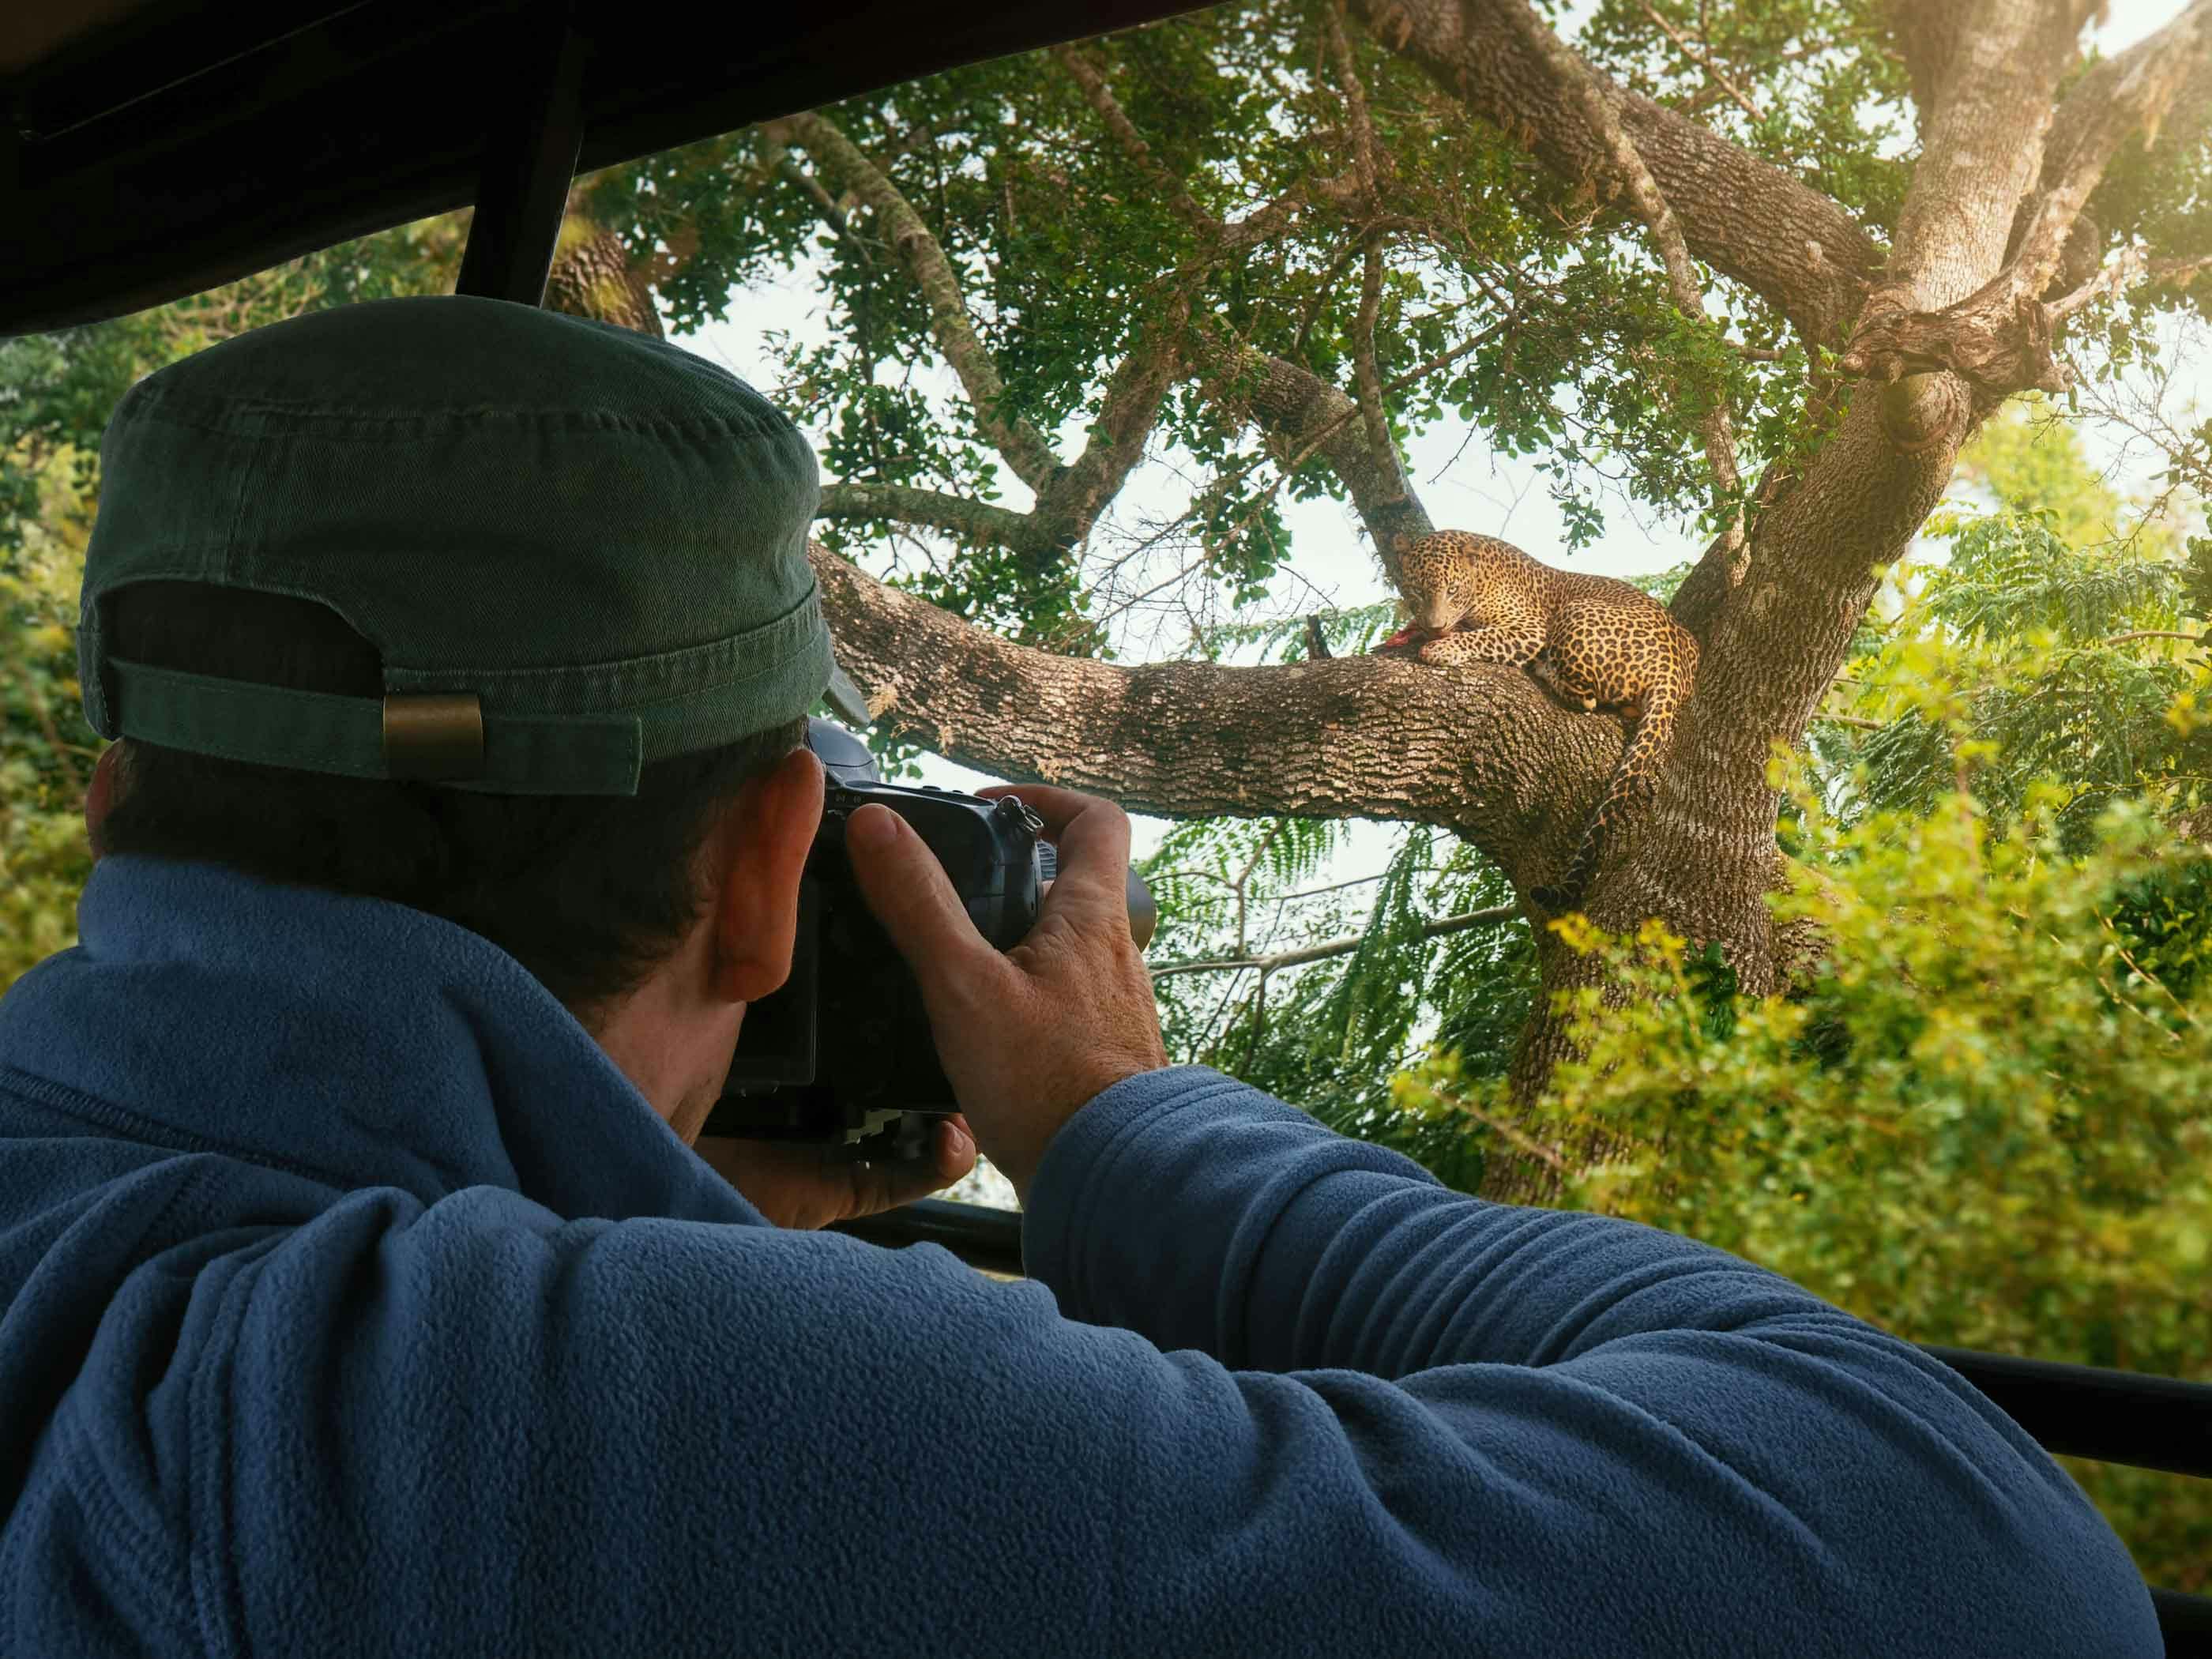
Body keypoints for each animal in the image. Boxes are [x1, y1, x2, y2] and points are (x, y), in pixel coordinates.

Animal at [1380, 532, 1690, 916]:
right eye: (1418, 591)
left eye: (1452, 590)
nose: (1435, 627)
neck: (1480, 578)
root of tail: (1673, 667)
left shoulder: (1528, 629)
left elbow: (1483, 636)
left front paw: (1441, 649)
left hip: (1574, 613)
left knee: (1587, 698)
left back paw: (1544, 669)